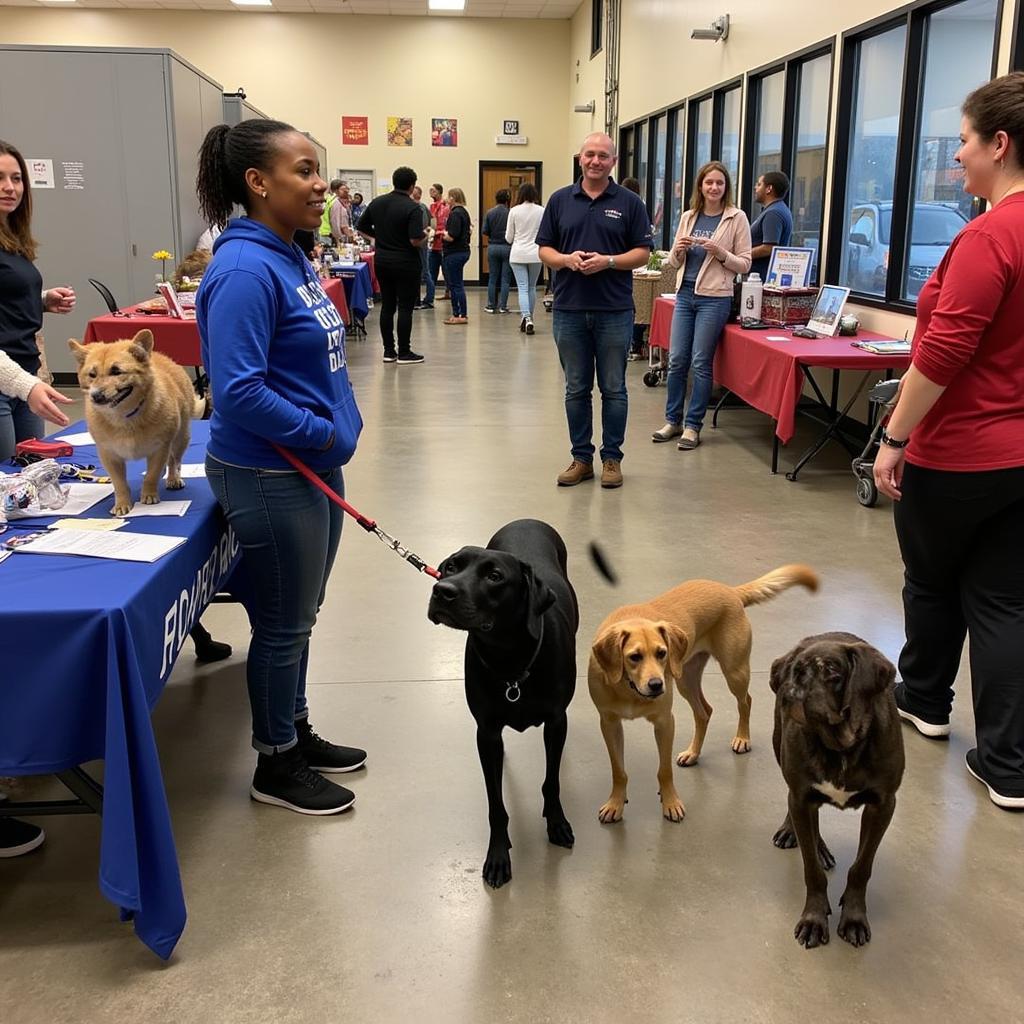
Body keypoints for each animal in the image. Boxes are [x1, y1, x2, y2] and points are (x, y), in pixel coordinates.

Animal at [68, 327, 203, 516]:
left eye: (116, 371)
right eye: (92, 375)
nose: (96, 396)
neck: (124, 417)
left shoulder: (160, 448)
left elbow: (151, 475)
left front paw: (149, 495)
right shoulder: (109, 455)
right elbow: (119, 483)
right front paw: (122, 504)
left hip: (180, 439)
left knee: (174, 461)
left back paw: (173, 478)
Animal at [428, 520, 581, 888]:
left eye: (495, 576)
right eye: (451, 566)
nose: (442, 590)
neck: (509, 657)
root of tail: (527, 519)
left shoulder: (556, 721)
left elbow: (551, 781)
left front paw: (556, 821)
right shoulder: (486, 733)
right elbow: (496, 804)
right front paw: (498, 854)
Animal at [589, 569, 819, 823]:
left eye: (662, 653)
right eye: (634, 657)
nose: (657, 685)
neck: (629, 689)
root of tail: (731, 591)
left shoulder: (665, 722)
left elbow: (664, 770)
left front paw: (671, 802)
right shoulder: (609, 724)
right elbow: (618, 770)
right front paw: (615, 804)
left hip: (734, 671)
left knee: (745, 702)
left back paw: (742, 738)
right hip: (685, 679)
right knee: (704, 712)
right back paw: (693, 753)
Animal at [770, 630, 905, 950]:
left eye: (831, 669)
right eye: (792, 670)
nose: (791, 690)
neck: (839, 747)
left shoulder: (883, 806)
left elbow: (861, 867)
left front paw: (854, 917)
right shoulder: (801, 797)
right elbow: (811, 870)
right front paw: (814, 919)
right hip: (779, 751)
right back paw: (796, 834)